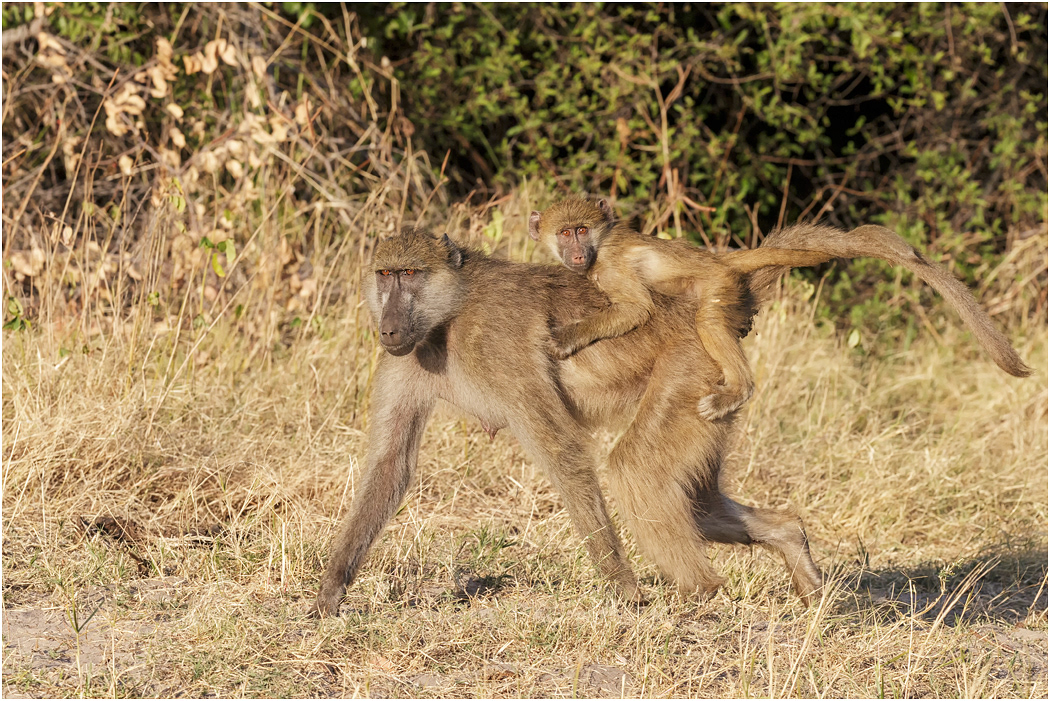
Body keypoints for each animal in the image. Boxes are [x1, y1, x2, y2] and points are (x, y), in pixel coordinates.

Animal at [312, 224, 1028, 617]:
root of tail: (704, 308)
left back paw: (698, 595)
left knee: (635, 472)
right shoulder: (406, 359)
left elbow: (564, 453)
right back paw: (790, 548)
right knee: (699, 500)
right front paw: (330, 595)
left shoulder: (498, 347)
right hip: (709, 399)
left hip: (691, 374)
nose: (388, 321)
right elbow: (390, 465)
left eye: (410, 273)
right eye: (385, 274)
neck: (448, 315)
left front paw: (624, 592)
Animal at [529, 197, 840, 420]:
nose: (578, 255)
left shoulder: (610, 267)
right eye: (565, 233)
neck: (600, 244)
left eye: (582, 230)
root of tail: (718, 260)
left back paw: (738, 391)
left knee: (709, 322)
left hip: (718, 283)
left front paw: (565, 339)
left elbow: (637, 309)